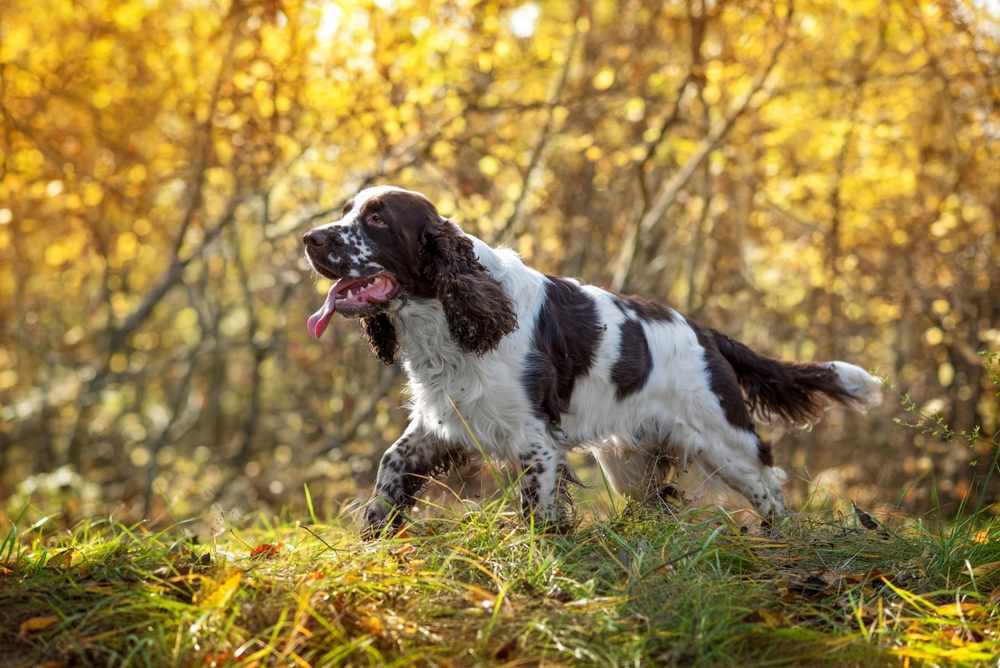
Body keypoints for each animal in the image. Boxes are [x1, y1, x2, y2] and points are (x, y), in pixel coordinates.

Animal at [300, 185, 880, 536]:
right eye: (349, 211)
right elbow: (390, 468)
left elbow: (537, 506)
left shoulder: (536, 440)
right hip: (629, 460)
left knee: (768, 486)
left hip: (724, 440)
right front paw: (373, 538)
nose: (308, 237)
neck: (448, 316)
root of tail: (704, 332)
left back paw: (778, 538)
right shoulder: (441, 422)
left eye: (377, 219)